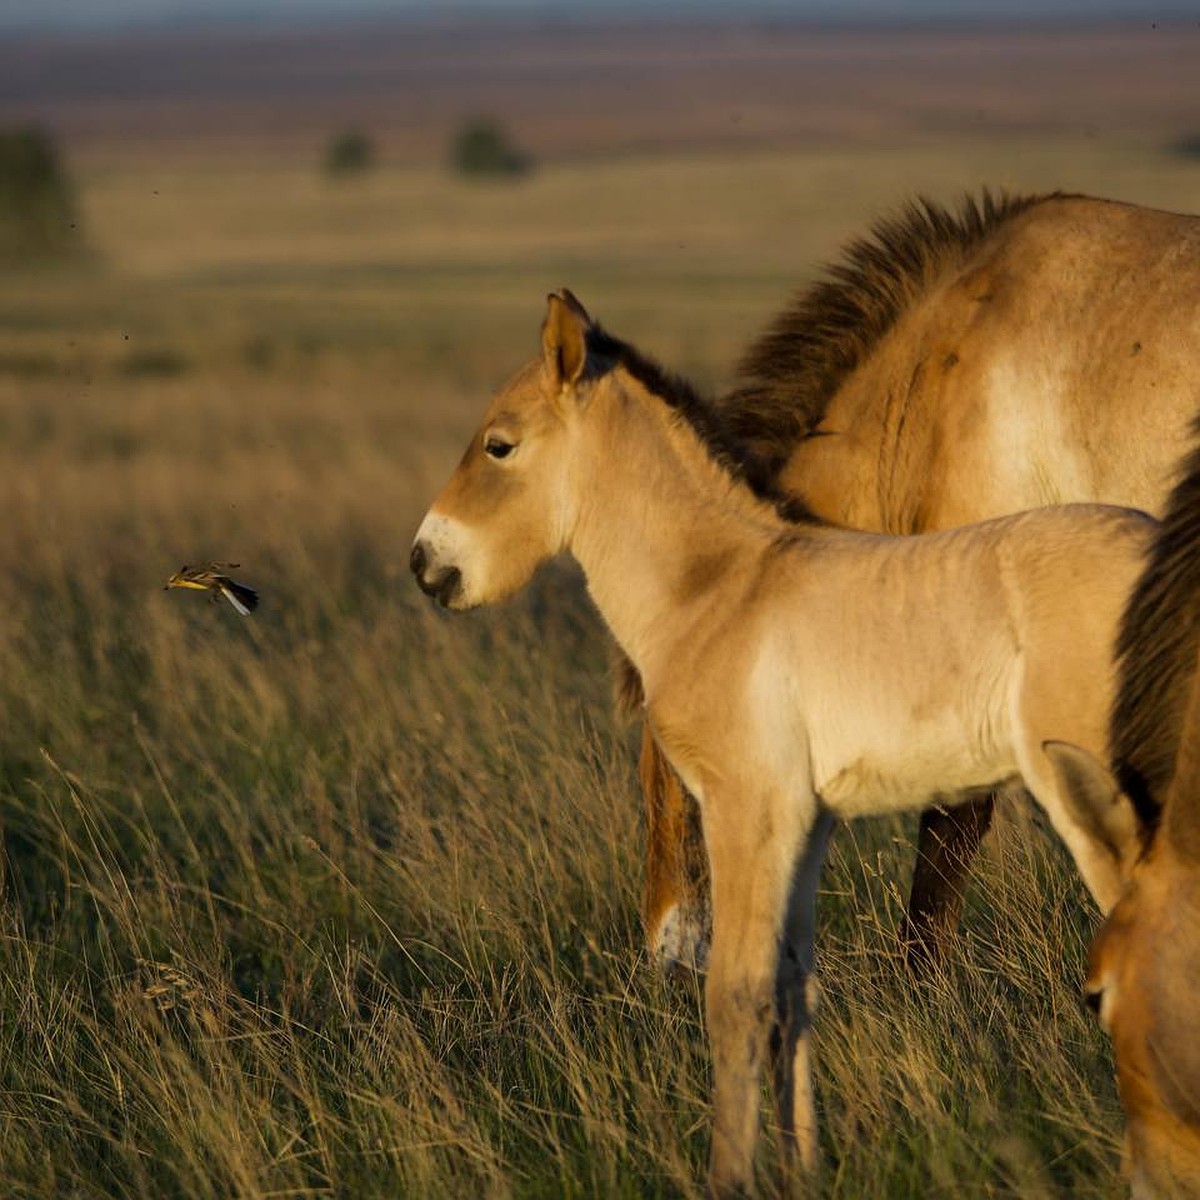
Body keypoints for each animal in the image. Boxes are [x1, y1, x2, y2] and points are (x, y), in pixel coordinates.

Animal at [410, 292, 1152, 1200]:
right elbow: (795, 987)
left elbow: (736, 995)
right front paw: (805, 1168)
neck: (721, 585)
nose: (426, 565)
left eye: (500, 444)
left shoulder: (746, 809)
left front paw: (729, 1176)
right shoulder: (808, 820)